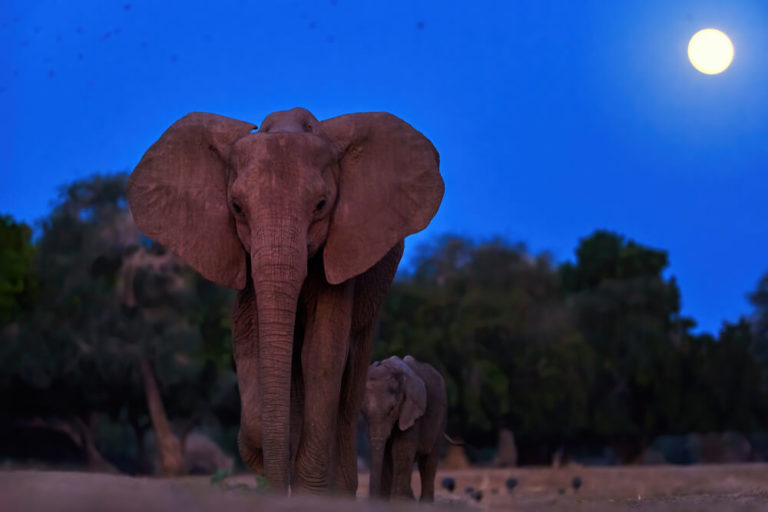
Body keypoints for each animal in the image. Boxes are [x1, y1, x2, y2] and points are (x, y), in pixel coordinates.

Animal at [127, 107, 444, 492]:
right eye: (236, 207)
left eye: (321, 205)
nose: (278, 489)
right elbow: (253, 345)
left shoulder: (342, 254)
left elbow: (321, 355)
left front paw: (308, 490)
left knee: (350, 383)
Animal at [364, 356, 448, 500]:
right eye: (362, 411)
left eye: (392, 409)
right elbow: (386, 453)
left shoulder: (412, 409)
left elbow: (401, 449)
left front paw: (400, 501)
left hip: (441, 417)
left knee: (427, 461)